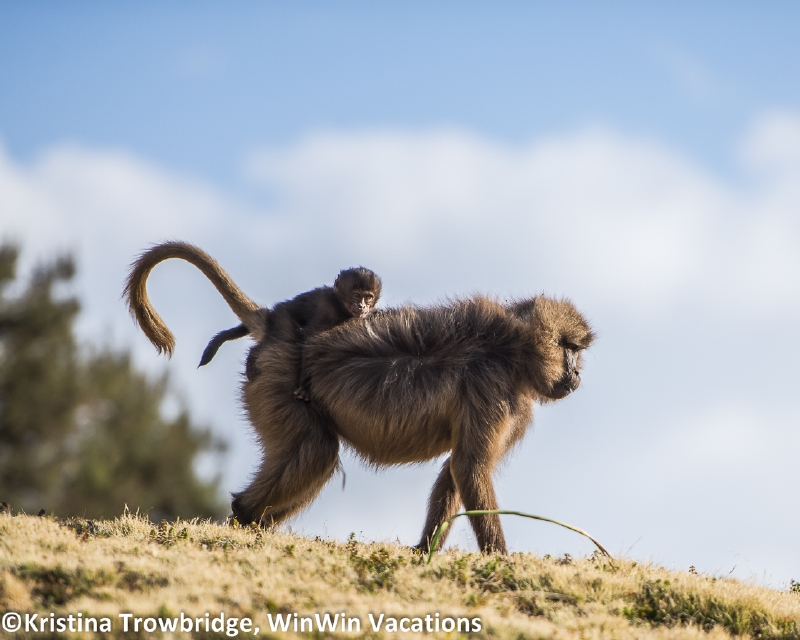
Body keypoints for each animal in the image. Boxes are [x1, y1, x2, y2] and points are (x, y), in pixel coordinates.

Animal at [197, 266, 381, 400]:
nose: (362, 306)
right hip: (282, 316)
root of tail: (274, 312)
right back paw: (254, 354)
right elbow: (310, 340)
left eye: (368, 297)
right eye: (356, 295)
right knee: (285, 333)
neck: (341, 305)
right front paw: (304, 386)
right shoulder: (327, 309)